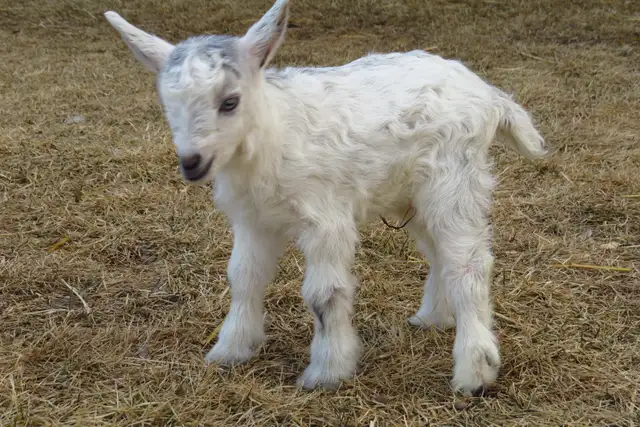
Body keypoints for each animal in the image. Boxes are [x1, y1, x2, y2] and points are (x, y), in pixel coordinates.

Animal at [104, 0, 546, 395]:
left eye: (229, 102)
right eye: (167, 105)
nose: (192, 163)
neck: (272, 135)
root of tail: (488, 94)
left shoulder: (324, 217)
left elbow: (324, 293)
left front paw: (327, 372)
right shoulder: (253, 220)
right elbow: (243, 278)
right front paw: (230, 350)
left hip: (453, 179)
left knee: (468, 263)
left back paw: (474, 374)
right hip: (413, 193)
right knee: (441, 254)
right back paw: (433, 318)